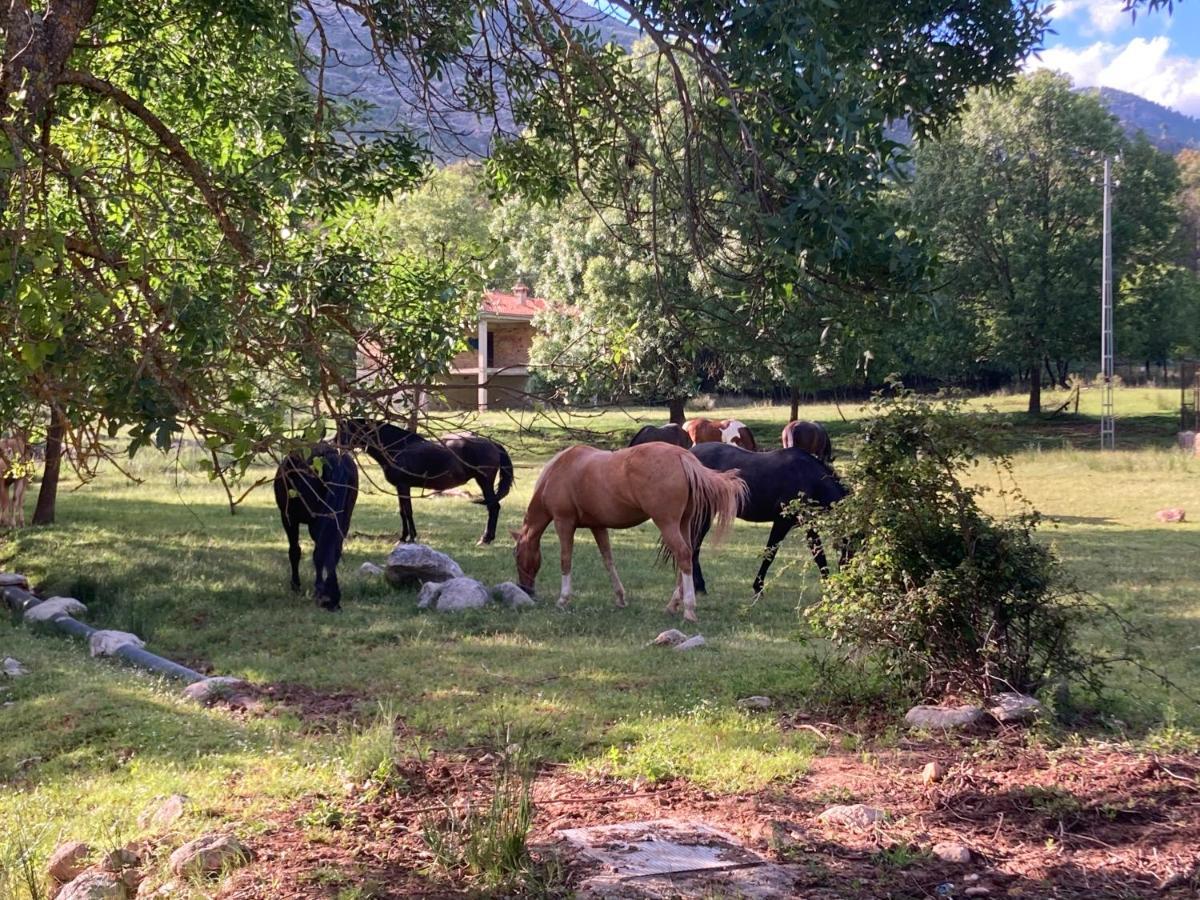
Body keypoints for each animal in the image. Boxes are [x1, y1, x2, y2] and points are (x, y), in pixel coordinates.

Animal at [274, 444, 357, 614]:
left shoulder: (288, 518)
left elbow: (295, 551)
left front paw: (296, 584)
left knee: (319, 550)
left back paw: (322, 592)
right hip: (343, 518)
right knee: (332, 549)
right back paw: (331, 594)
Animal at [336, 420, 513, 547]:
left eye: (345, 430)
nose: (334, 444)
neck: (397, 448)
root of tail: (493, 444)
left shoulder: (403, 485)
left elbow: (407, 512)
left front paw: (410, 538)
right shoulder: (400, 487)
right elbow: (403, 511)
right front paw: (404, 537)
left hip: (484, 481)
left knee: (493, 507)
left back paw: (485, 539)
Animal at [511, 441, 744, 619]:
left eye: (517, 556)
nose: (526, 590)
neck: (559, 470)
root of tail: (682, 456)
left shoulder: (564, 522)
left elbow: (565, 559)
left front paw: (563, 599)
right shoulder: (598, 526)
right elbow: (608, 560)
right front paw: (620, 597)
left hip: (667, 523)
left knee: (684, 555)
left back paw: (688, 609)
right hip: (684, 524)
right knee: (686, 555)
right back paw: (673, 605)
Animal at [691, 444, 849, 600]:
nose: (847, 584)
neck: (809, 477)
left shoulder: (808, 523)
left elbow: (819, 555)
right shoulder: (782, 522)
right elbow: (770, 554)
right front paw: (758, 588)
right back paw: (699, 588)